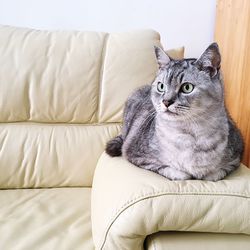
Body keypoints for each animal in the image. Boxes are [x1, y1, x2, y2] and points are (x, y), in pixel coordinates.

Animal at [106, 43, 244, 182]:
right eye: (161, 86)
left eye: (187, 87)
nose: (166, 101)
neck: (189, 134)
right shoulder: (136, 154)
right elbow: (179, 174)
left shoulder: (235, 159)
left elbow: (213, 175)